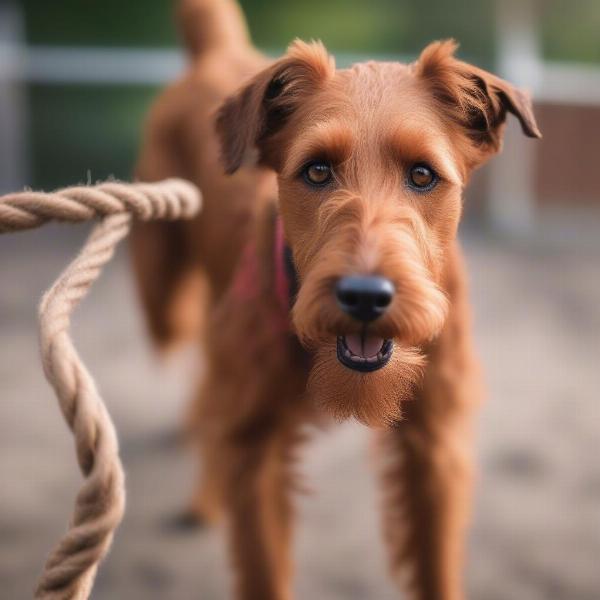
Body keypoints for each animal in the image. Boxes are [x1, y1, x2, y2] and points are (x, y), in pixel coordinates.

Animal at [130, 2, 540, 596]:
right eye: (317, 169)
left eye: (423, 174)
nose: (365, 297)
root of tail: (216, 50)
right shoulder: (256, 447)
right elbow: (261, 567)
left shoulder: (435, 449)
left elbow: (436, 566)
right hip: (163, 293)